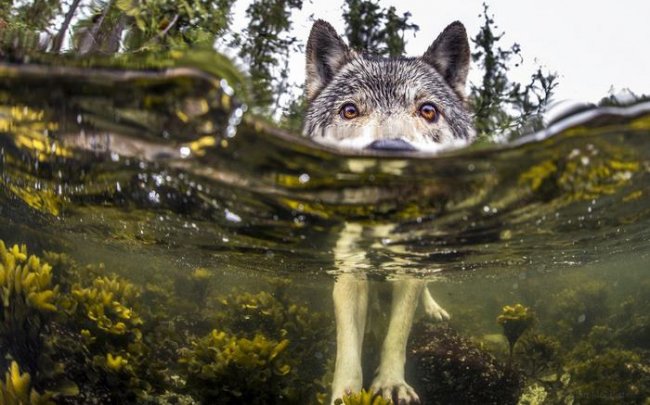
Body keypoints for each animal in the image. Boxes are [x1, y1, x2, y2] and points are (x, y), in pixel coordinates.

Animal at [302, 19, 474, 400]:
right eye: (350, 110)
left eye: (428, 110)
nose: (392, 151)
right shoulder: (350, 270)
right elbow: (348, 347)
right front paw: (346, 394)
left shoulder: (408, 270)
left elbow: (397, 333)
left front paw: (392, 384)